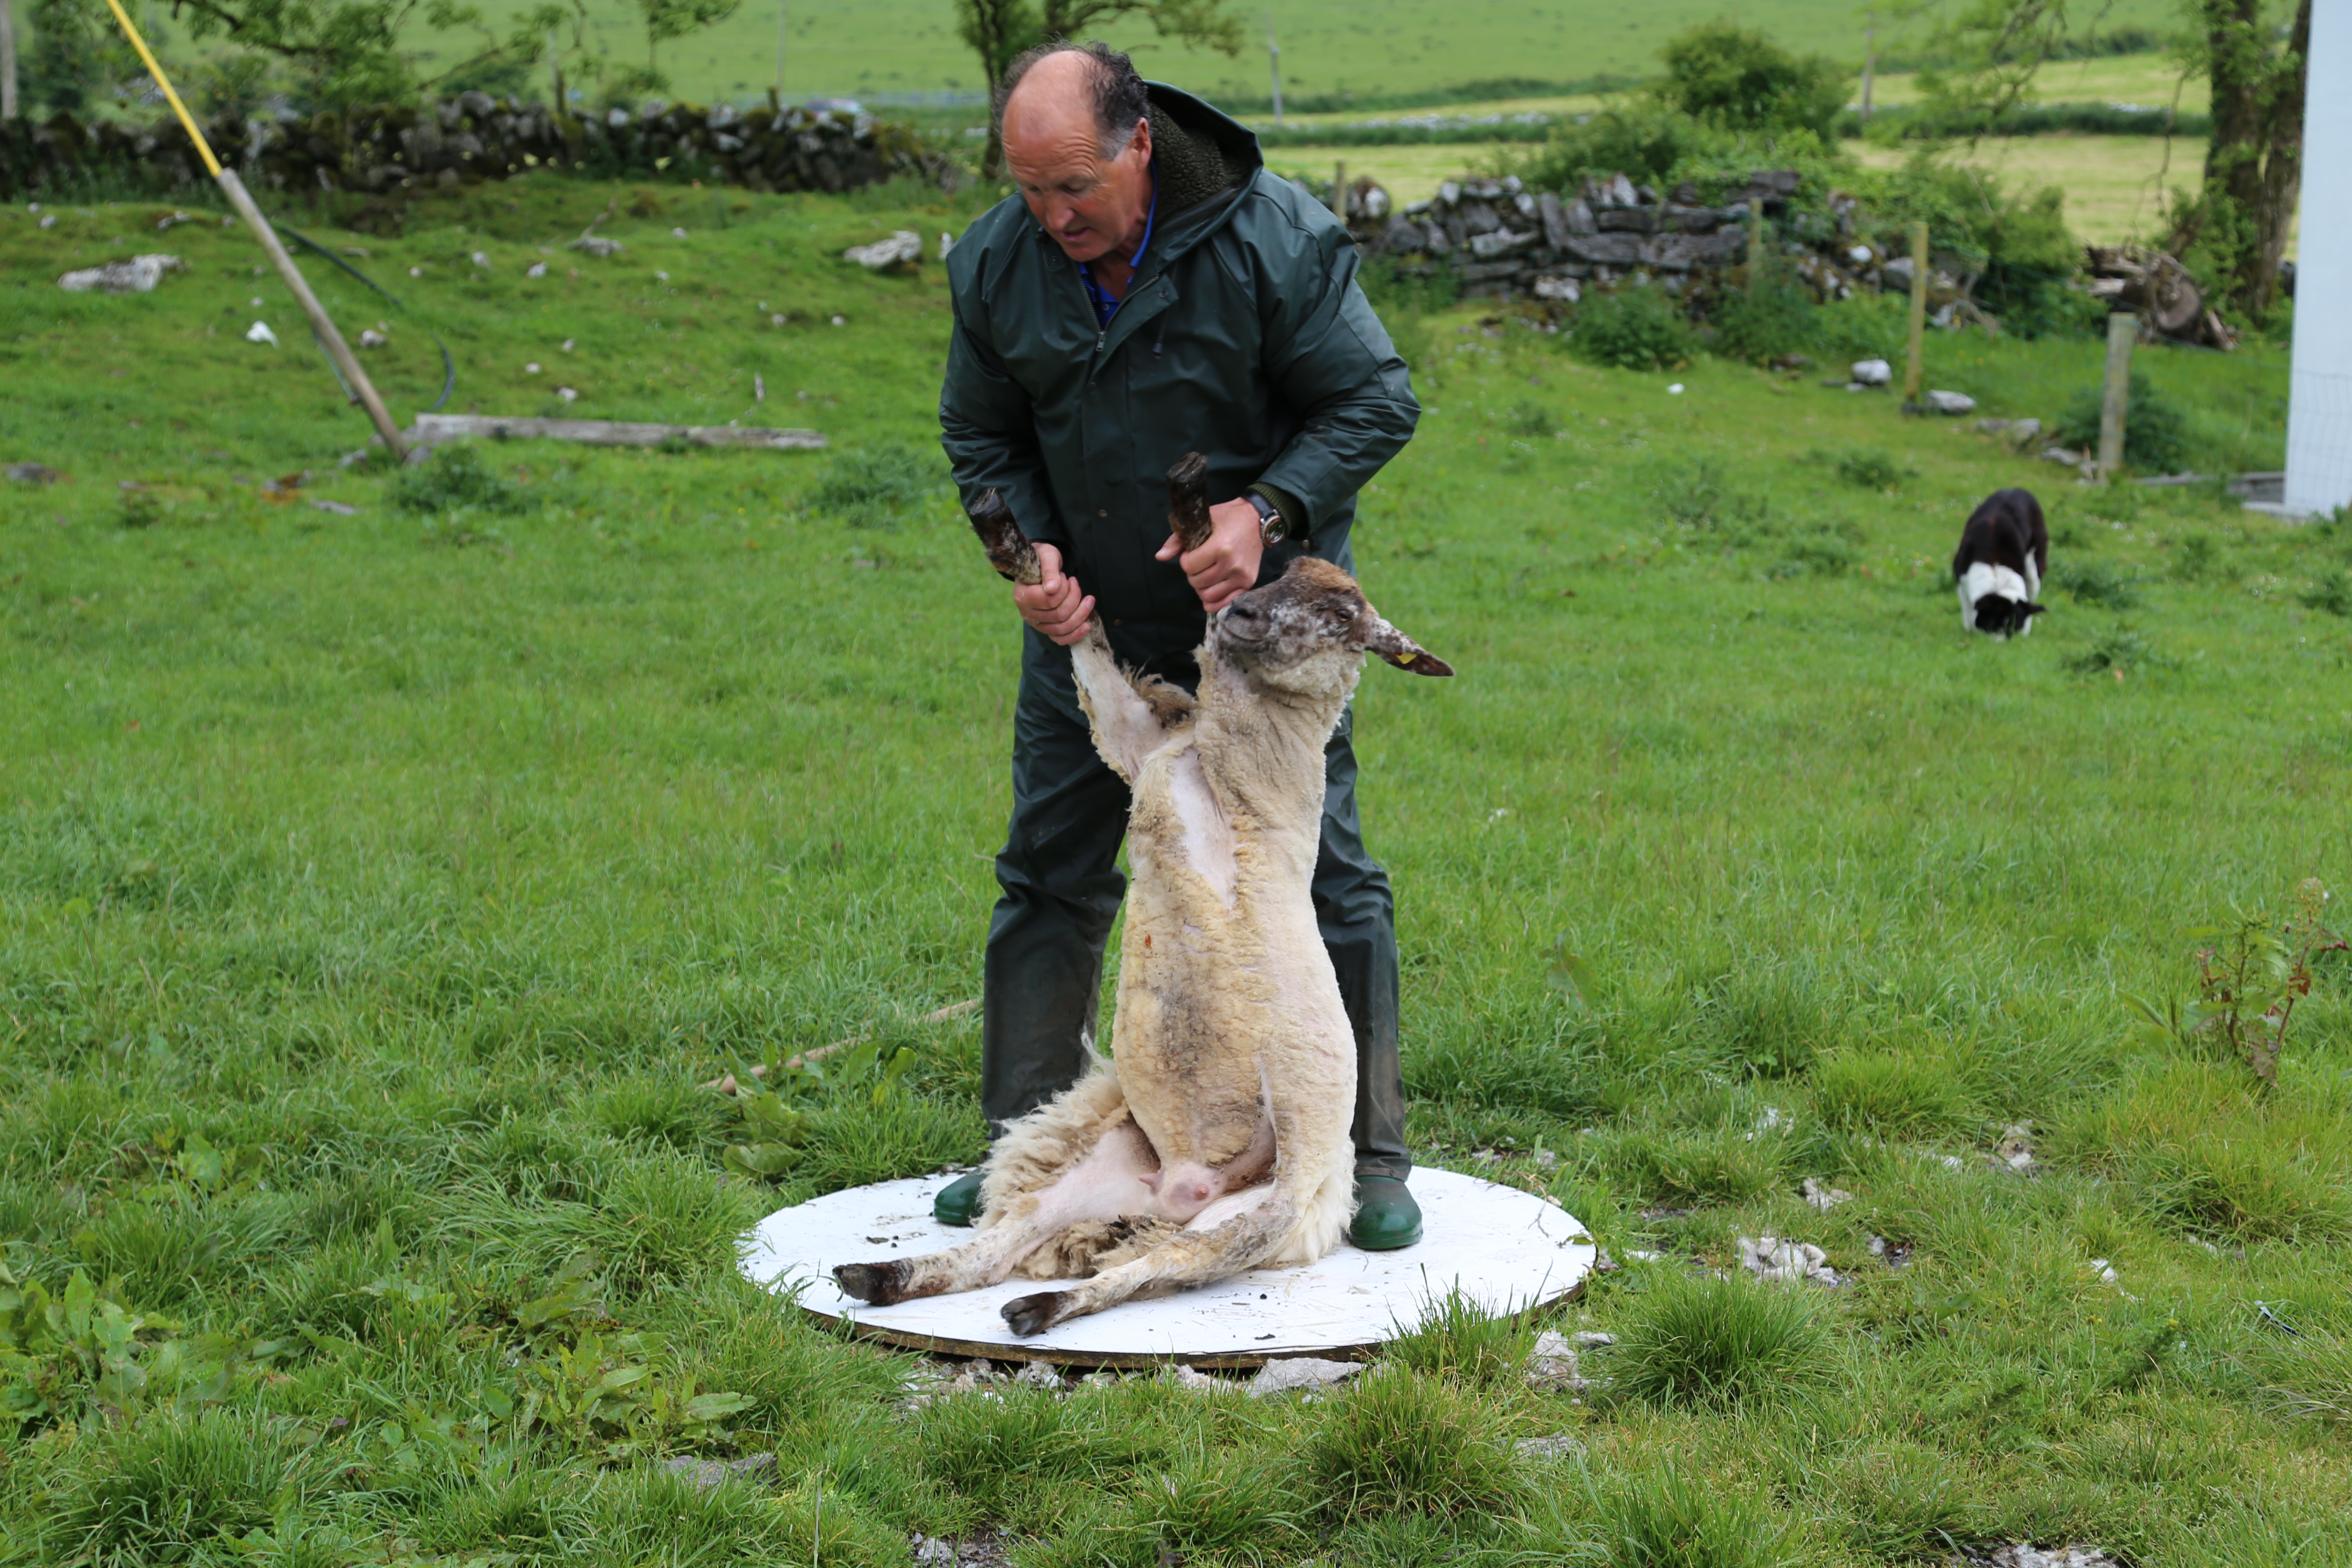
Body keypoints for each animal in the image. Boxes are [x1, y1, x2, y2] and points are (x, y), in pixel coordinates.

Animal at [1957, 491, 2051, 639]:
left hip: (2035, 567)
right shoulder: (1963, 581)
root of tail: (2017, 490)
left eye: (2014, 630)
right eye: (1992, 626)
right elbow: (1968, 609)